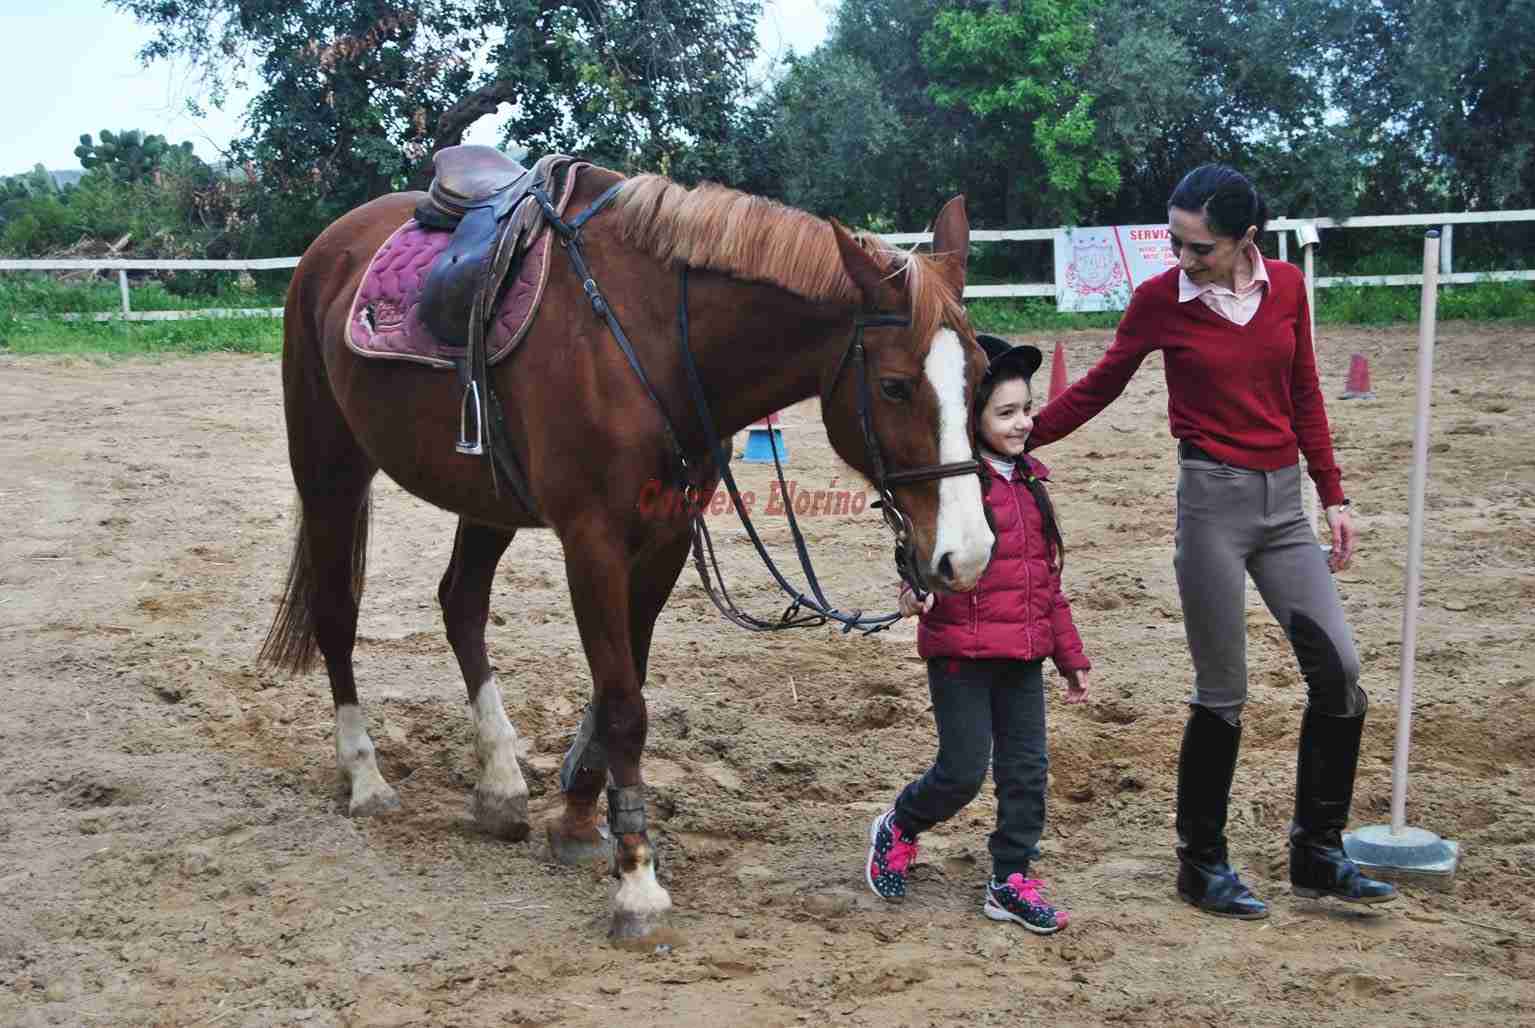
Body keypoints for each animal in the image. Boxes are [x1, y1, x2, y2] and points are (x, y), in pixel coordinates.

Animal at [257, 163, 988, 945]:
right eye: (894, 385)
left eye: (979, 372)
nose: (969, 554)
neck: (650, 338)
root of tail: (330, 246)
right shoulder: (593, 543)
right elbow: (623, 706)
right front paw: (637, 881)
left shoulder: (664, 541)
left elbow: (620, 687)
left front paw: (580, 819)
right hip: (330, 466)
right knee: (337, 615)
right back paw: (365, 779)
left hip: (485, 497)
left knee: (461, 605)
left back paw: (500, 784)